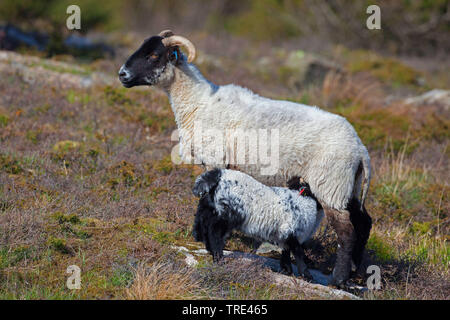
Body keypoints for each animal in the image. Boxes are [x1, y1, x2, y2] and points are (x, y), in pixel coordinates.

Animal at [190, 169, 324, 278]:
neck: (304, 200)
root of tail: (218, 175)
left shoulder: (284, 235)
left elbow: (285, 252)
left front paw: (287, 271)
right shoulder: (292, 232)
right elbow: (298, 253)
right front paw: (307, 275)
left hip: (208, 208)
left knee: (201, 225)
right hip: (225, 215)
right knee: (214, 234)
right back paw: (219, 258)